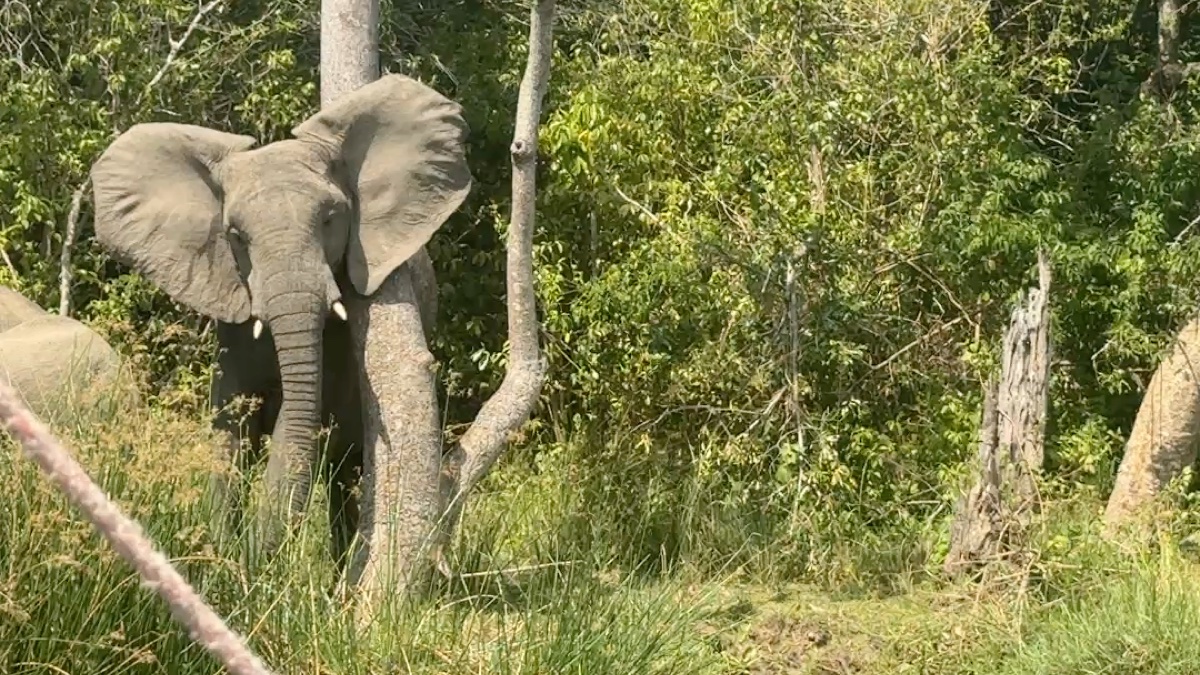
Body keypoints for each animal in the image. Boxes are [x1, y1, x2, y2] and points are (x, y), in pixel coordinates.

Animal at [88, 74, 472, 567]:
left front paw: (245, 565)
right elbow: (230, 428)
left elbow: (298, 421)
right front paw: (219, 562)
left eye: (331, 219)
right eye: (235, 236)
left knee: (345, 473)